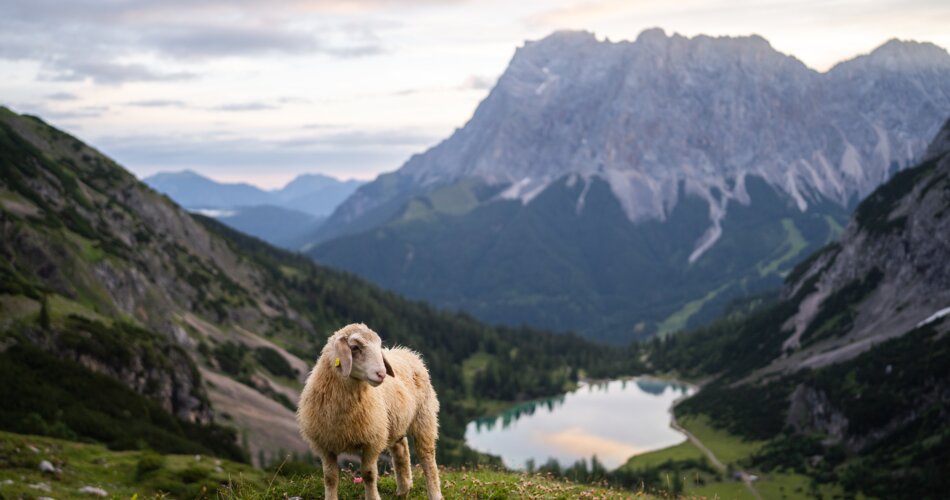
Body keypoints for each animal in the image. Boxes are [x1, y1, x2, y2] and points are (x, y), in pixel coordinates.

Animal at [300, 322, 444, 498]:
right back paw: (403, 490)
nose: (382, 374)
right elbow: (330, 477)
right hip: (394, 422)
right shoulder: (324, 445)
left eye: (379, 346)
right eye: (355, 347)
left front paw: (373, 497)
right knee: (401, 449)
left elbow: (368, 474)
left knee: (427, 456)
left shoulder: (373, 440)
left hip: (424, 416)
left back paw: (435, 494)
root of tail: (408, 352)